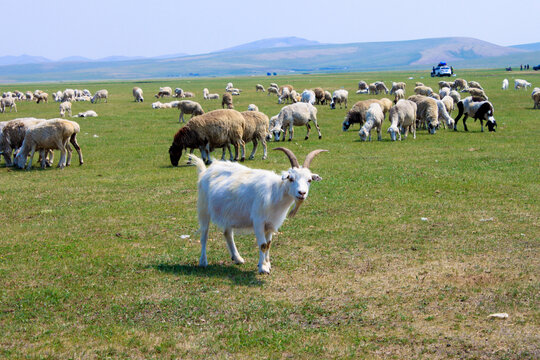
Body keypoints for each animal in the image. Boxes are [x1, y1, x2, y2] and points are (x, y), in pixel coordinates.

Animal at [190, 146, 324, 272]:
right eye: (291, 179)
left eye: (309, 180)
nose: (302, 193)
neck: (275, 193)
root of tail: (205, 171)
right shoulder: (258, 221)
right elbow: (263, 245)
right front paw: (263, 268)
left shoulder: (270, 224)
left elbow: (268, 244)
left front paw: (267, 264)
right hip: (203, 209)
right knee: (204, 235)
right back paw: (203, 261)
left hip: (228, 213)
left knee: (228, 234)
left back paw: (237, 258)